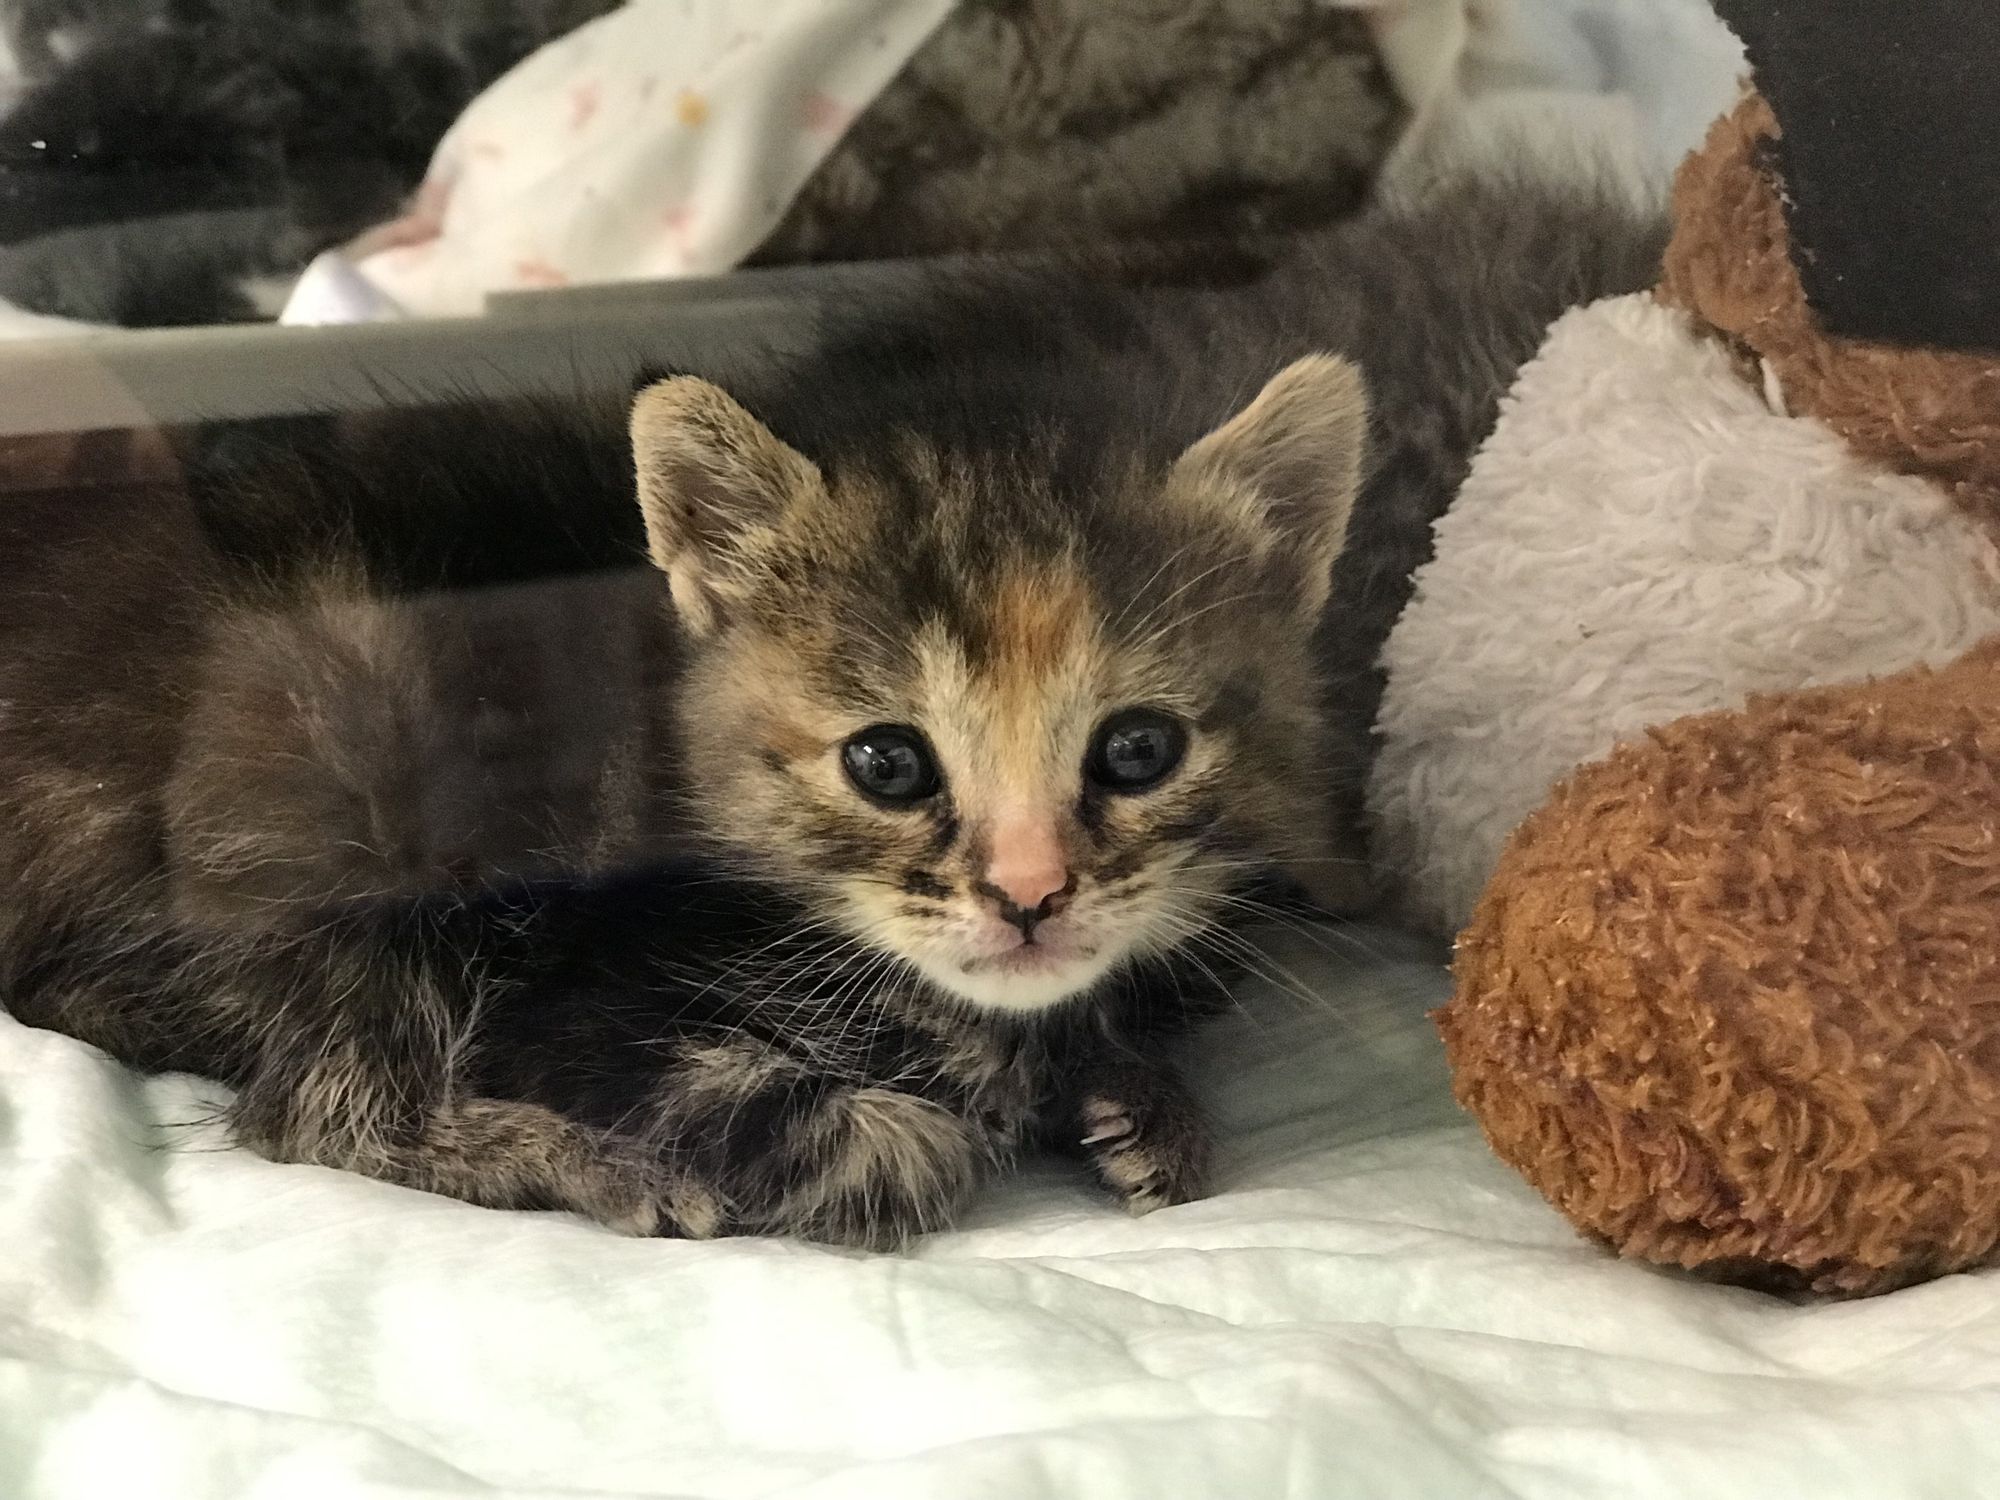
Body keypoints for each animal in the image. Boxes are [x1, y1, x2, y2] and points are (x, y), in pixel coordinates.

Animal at [0, 172, 1665, 1242]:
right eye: (889, 763)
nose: (1030, 896)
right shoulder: (581, 993)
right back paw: (578, 1170)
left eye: (1138, 750)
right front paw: (933, 1121)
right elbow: (876, 1131)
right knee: (315, 1111)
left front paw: (1131, 1096)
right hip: (345, 752)